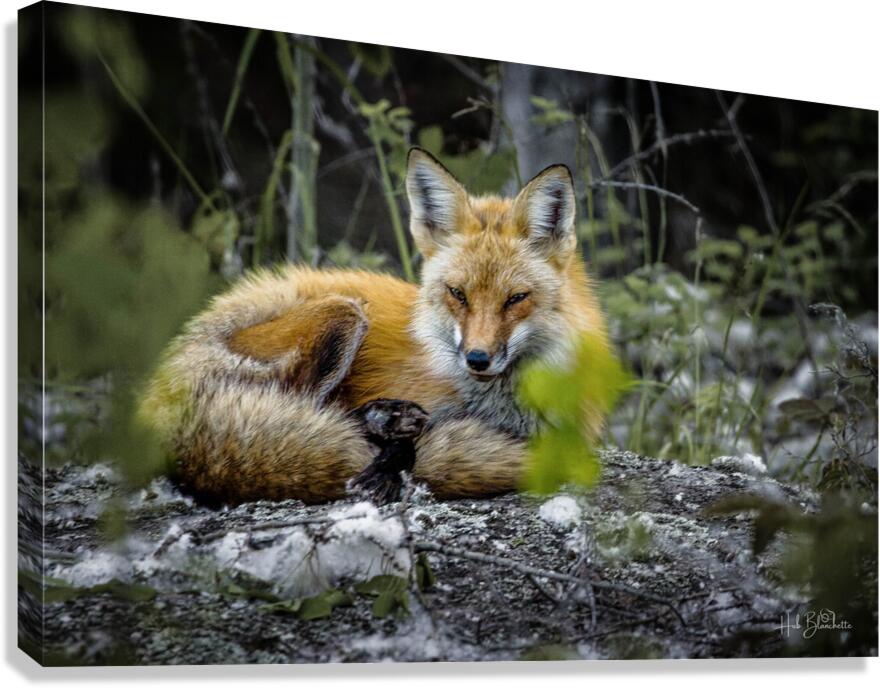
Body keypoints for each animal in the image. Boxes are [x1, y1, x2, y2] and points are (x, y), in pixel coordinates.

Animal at [137, 148, 609, 505]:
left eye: (515, 299)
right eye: (458, 294)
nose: (477, 359)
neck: (500, 409)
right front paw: (390, 459)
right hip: (342, 314)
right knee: (308, 407)